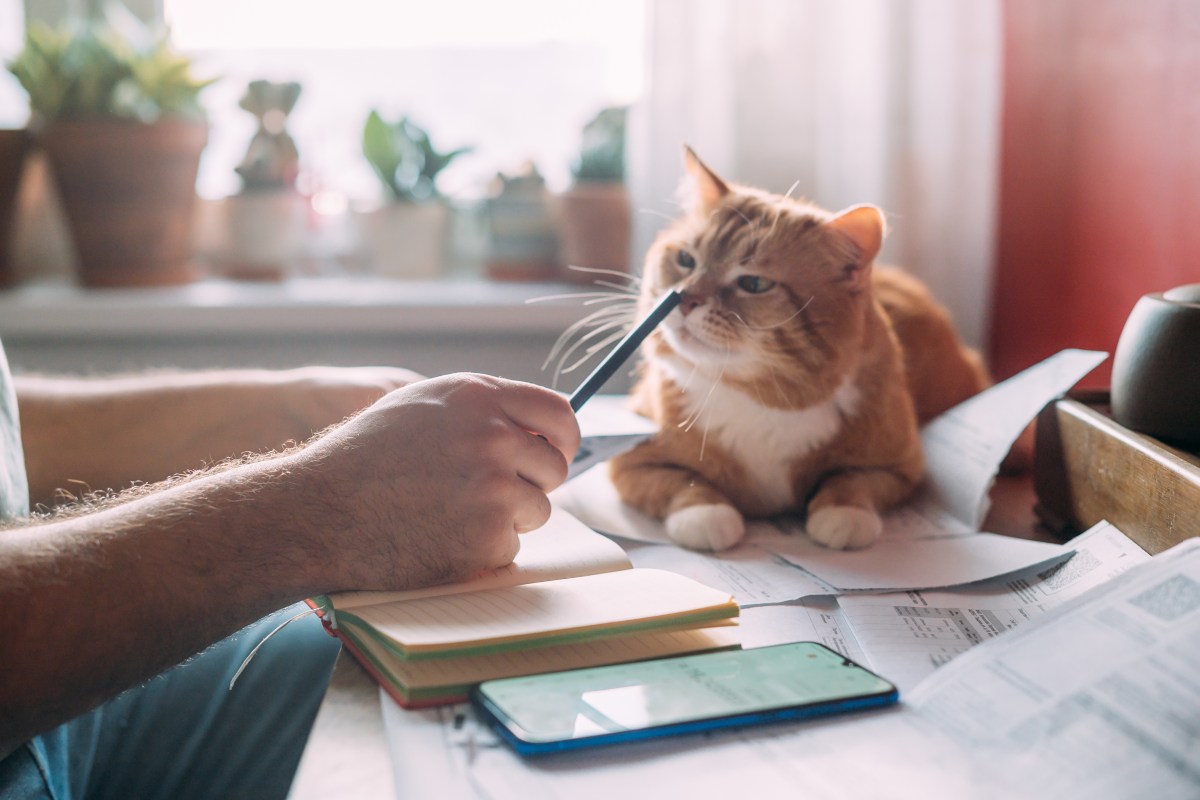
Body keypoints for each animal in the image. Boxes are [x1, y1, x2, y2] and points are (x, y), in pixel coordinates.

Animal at [604, 146, 988, 554]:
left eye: (754, 284)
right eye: (686, 260)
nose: (685, 299)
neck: (761, 398)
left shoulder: (902, 466)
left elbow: (853, 480)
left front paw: (843, 514)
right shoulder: (630, 460)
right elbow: (681, 482)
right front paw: (707, 514)